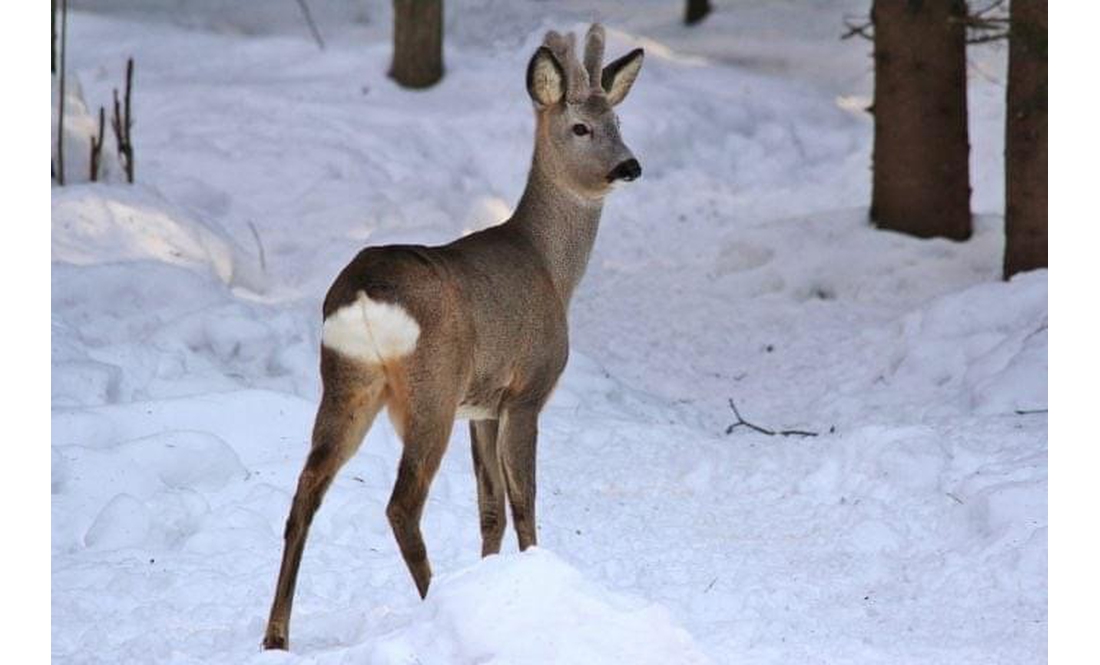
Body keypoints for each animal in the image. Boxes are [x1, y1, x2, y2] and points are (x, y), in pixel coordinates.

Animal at [264, 24, 642, 646]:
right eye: (580, 128)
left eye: (619, 121)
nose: (629, 166)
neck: (551, 268)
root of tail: (362, 292)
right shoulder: (527, 390)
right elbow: (524, 501)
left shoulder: (482, 405)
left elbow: (489, 508)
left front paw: (494, 581)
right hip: (431, 387)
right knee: (401, 504)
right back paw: (435, 600)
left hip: (347, 381)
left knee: (306, 490)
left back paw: (275, 635)